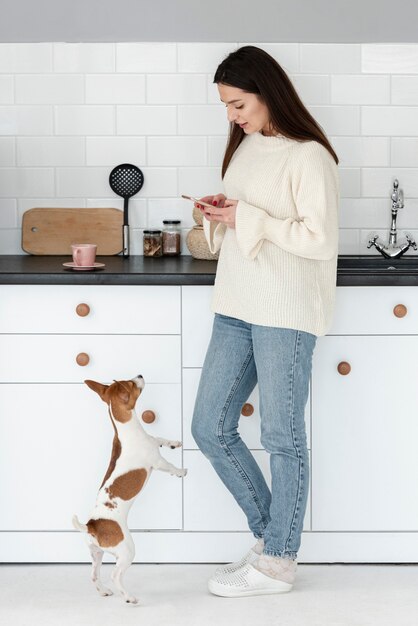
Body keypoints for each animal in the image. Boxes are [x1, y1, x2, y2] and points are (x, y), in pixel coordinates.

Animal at [72, 372, 187, 604]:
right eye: (132, 383)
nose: (140, 374)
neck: (127, 430)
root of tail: (91, 526)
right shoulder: (157, 462)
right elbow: (170, 466)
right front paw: (181, 472)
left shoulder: (154, 442)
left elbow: (160, 438)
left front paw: (174, 443)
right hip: (127, 551)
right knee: (115, 575)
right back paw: (129, 597)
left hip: (96, 553)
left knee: (94, 575)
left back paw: (104, 591)